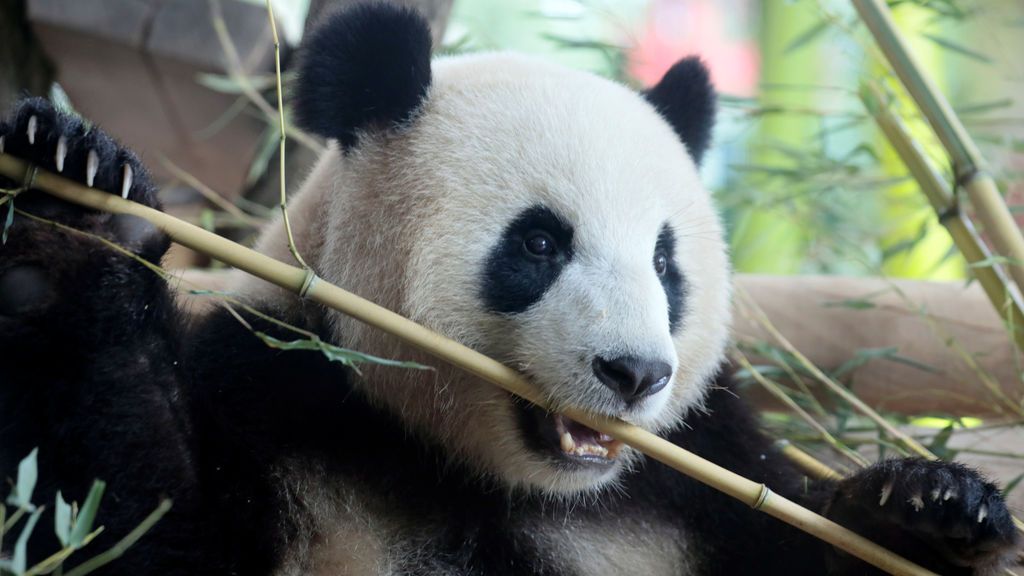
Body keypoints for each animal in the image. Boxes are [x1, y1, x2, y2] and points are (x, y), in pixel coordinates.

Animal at [0, 3, 1019, 575]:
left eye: (665, 263)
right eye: (538, 243)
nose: (636, 374)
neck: (506, 482)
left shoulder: (698, 475)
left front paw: (934, 507)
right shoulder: (278, 392)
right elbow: (132, 532)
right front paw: (79, 201)